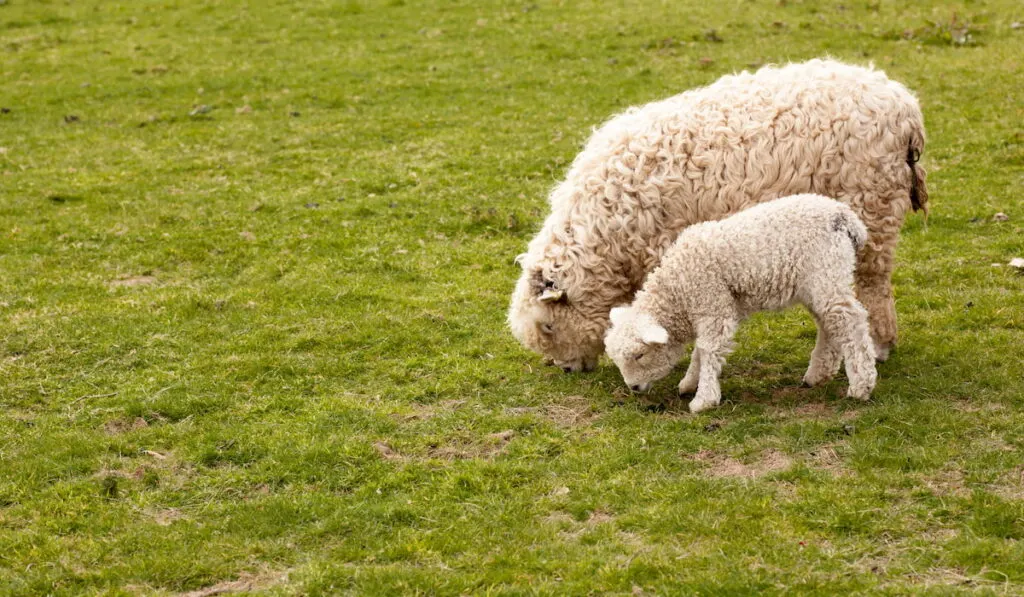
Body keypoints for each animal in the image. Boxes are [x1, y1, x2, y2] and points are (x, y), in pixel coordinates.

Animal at [512, 58, 929, 372]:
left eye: (548, 326)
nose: (568, 369)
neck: (605, 232)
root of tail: (903, 105)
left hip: (870, 206)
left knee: (874, 283)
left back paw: (880, 345)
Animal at [602, 193, 876, 413]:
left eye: (640, 355)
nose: (634, 387)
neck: (678, 288)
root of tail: (845, 217)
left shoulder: (712, 303)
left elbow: (709, 349)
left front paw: (703, 399)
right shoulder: (715, 307)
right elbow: (701, 348)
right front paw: (690, 383)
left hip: (827, 271)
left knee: (850, 322)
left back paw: (861, 385)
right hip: (817, 282)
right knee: (829, 325)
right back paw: (817, 375)